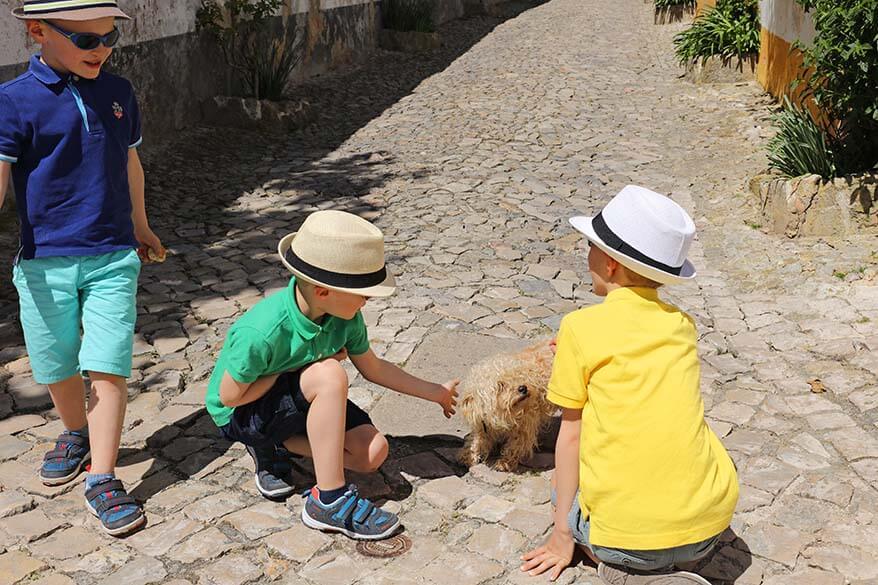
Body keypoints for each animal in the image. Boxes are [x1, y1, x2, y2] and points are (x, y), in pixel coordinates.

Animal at [460, 340, 556, 472]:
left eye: (518, 375)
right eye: (500, 385)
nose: (523, 388)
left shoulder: (524, 426)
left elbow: (515, 446)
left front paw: (505, 463)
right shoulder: (483, 424)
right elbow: (478, 439)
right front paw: (470, 455)